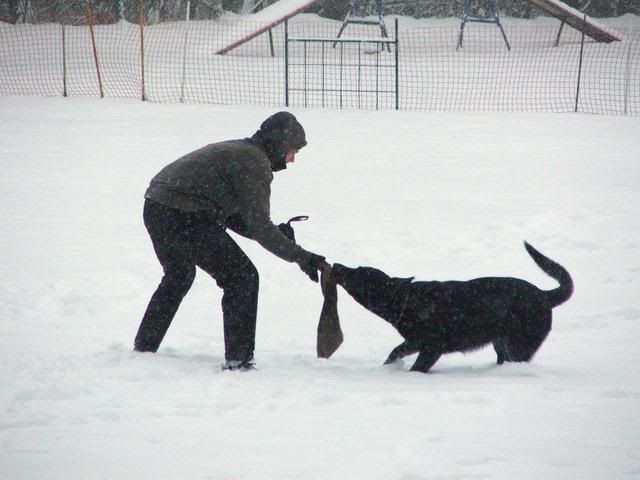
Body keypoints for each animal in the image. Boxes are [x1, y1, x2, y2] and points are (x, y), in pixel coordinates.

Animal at [328, 242, 572, 374]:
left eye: (358, 273)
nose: (336, 265)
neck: (407, 300)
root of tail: (544, 295)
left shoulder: (431, 347)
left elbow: (417, 367)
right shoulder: (415, 341)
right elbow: (395, 352)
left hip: (518, 345)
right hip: (501, 342)